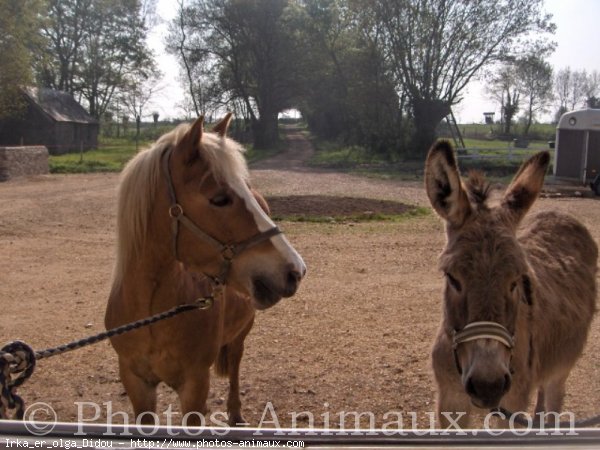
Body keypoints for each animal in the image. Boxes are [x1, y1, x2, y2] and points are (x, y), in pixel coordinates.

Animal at [103, 114, 308, 428]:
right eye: (219, 199)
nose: (295, 270)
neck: (152, 314)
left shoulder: (195, 385)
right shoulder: (135, 382)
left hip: (241, 332)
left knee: (235, 364)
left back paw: (235, 413)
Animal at [424, 139, 596, 428]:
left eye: (517, 280)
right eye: (452, 277)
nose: (488, 386)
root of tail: (559, 213)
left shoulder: (512, 404)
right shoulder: (449, 400)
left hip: (561, 367)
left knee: (554, 399)